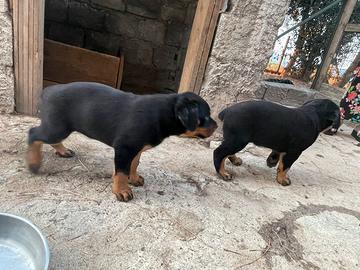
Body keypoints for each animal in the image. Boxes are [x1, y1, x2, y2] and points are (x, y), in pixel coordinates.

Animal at [26, 81, 217, 201]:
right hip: (58, 127)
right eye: (206, 117)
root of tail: (48, 90)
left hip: (58, 128)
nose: (216, 126)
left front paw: (134, 178)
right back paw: (34, 163)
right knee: (33, 134)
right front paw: (122, 191)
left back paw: (62, 150)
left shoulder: (136, 148)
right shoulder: (125, 148)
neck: (162, 113)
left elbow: (134, 163)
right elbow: (121, 171)